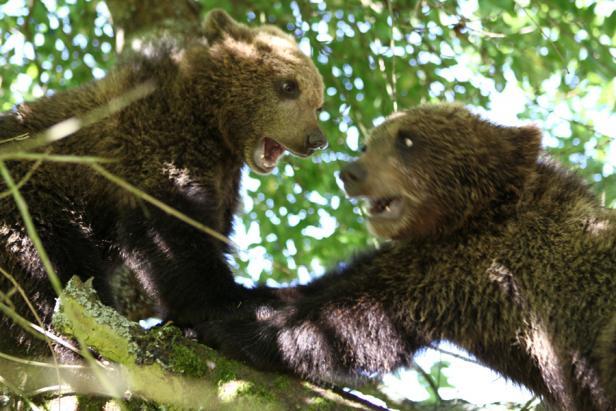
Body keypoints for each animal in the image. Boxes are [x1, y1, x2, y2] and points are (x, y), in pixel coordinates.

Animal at [0, 8, 328, 358]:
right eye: (288, 86)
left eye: (317, 102)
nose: (316, 140)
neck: (214, 125)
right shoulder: (158, 145)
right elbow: (174, 235)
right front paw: (235, 300)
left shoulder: (222, 180)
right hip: (30, 198)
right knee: (50, 267)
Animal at [197, 105, 616, 411]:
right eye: (368, 144)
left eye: (408, 140)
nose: (350, 172)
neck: (466, 217)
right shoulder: (416, 254)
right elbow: (333, 285)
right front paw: (234, 302)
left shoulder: (471, 269)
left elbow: (360, 319)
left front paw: (235, 331)